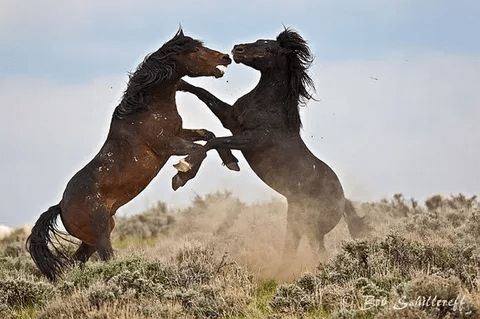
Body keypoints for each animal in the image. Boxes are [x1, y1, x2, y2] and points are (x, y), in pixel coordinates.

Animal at [26, 28, 240, 282]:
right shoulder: (166, 145)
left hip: (91, 240)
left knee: (74, 263)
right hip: (101, 235)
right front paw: (181, 175)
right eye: (195, 50)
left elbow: (209, 136)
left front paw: (231, 162)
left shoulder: (180, 133)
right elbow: (199, 151)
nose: (225, 58)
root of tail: (60, 206)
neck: (147, 108)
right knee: (104, 258)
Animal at [178, 27, 370, 268]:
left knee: (318, 252)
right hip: (295, 221)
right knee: (290, 248)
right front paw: (180, 83)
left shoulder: (250, 140)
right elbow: (204, 95)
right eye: (259, 40)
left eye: (268, 48)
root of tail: (343, 201)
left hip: (313, 229)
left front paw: (186, 169)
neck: (267, 107)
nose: (237, 50)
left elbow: (213, 142)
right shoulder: (230, 119)